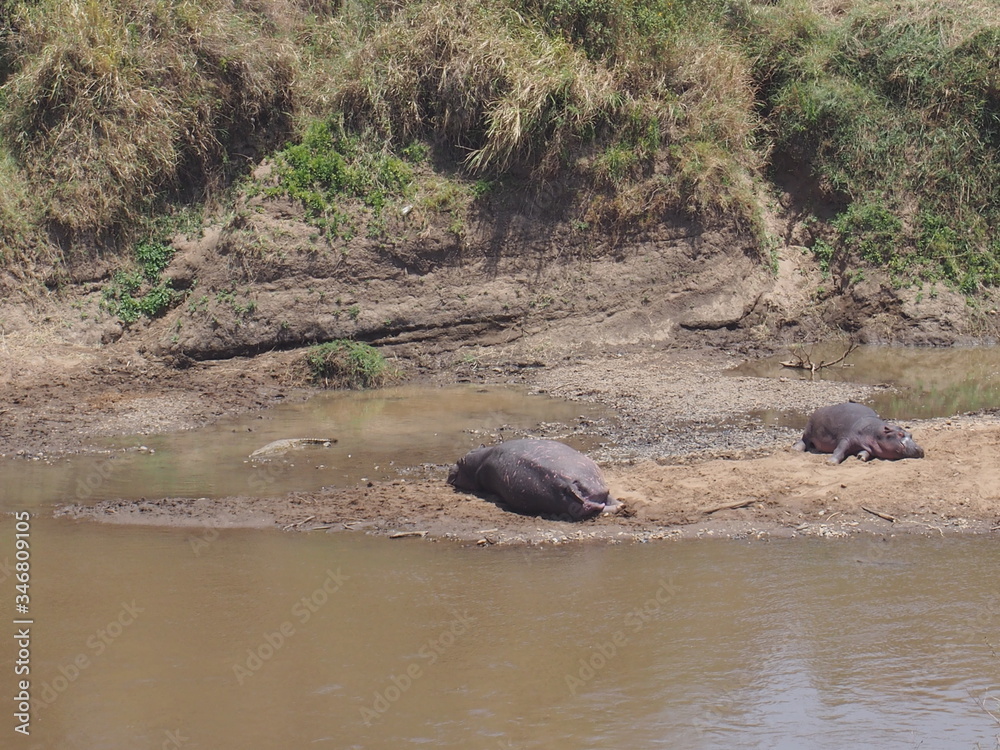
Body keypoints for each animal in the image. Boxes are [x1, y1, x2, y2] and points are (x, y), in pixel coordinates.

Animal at [793, 402, 925, 464]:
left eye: (911, 435)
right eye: (900, 435)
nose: (920, 449)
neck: (877, 432)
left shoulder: (869, 446)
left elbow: (866, 452)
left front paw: (861, 457)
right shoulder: (846, 439)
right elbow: (839, 449)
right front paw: (830, 462)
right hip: (808, 430)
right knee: (803, 441)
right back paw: (796, 449)